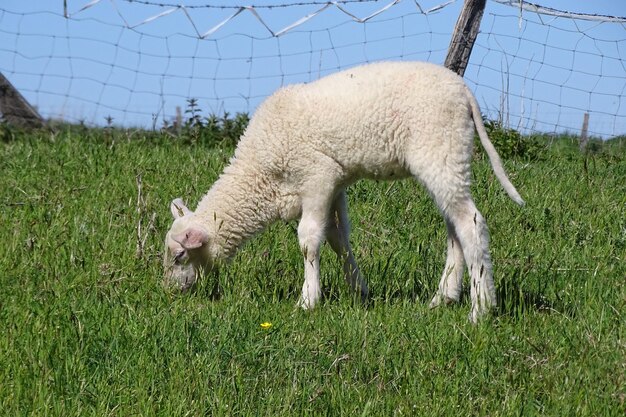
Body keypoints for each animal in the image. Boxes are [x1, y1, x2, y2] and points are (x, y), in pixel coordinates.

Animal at [165, 61, 520, 322]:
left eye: (180, 255)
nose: (169, 292)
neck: (261, 177)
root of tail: (463, 90)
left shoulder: (316, 177)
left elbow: (308, 241)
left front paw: (308, 300)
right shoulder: (335, 185)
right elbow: (338, 238)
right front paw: (358, 290)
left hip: (442, 150)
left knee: (472, 223)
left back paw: (481, 309)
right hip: (444, 159)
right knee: (455, 226)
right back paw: (443, 297)